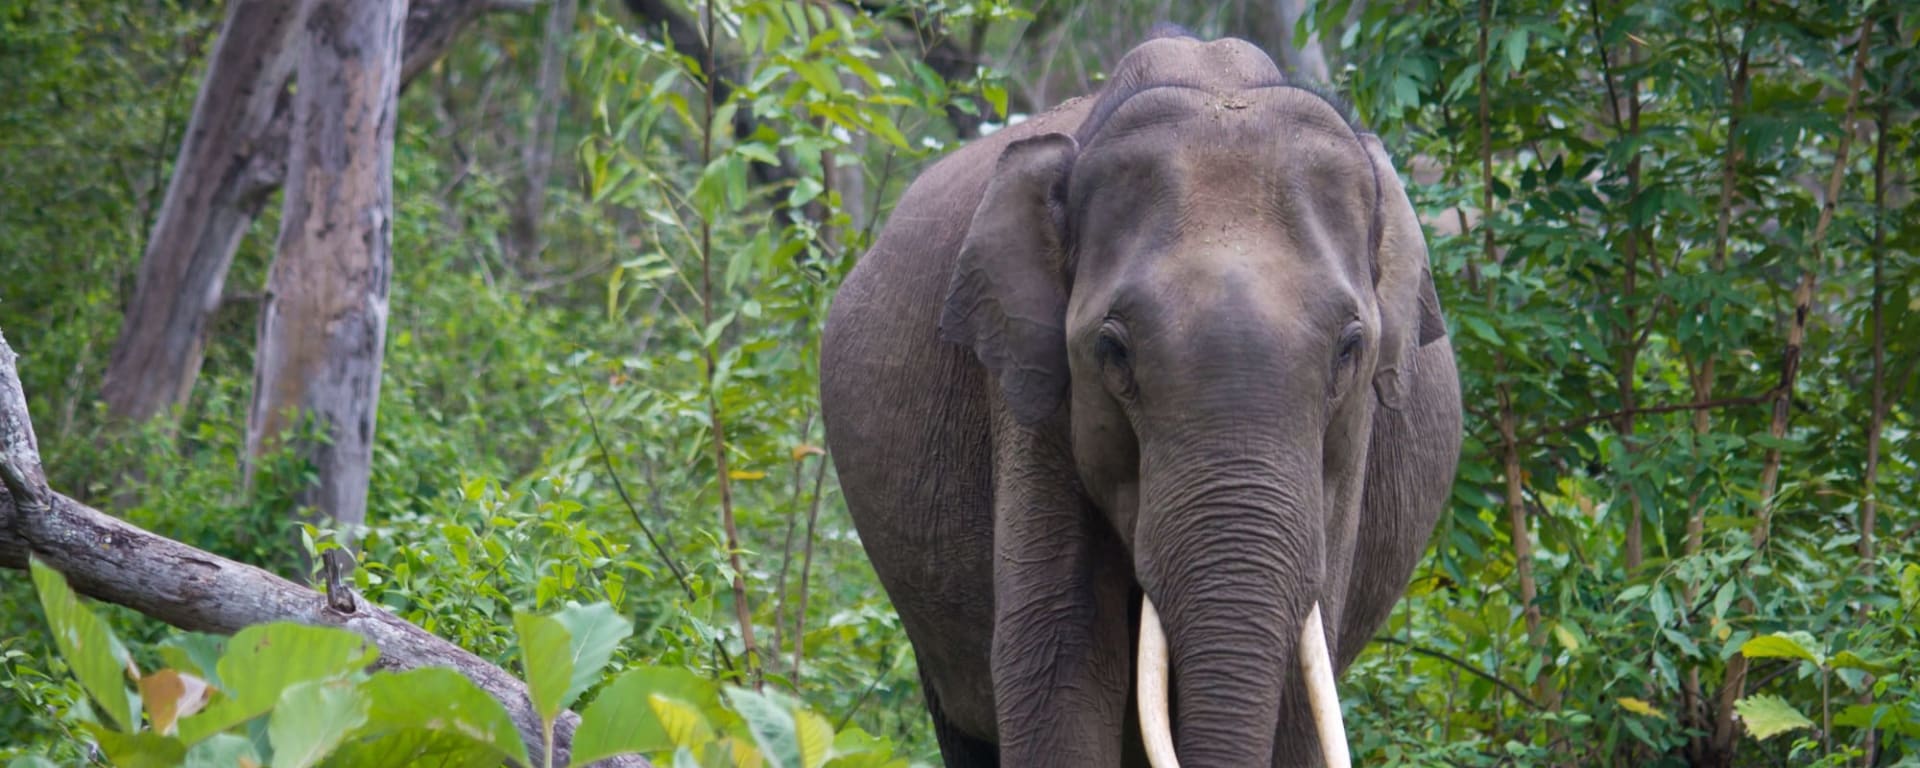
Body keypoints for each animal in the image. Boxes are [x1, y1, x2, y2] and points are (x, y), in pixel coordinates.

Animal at [820, 31, 1462, 768]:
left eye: (1350, 349)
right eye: (1113, 350)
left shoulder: (1350, 449)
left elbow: (1304, 691)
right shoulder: (1031, 396)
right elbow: (1060, 661)